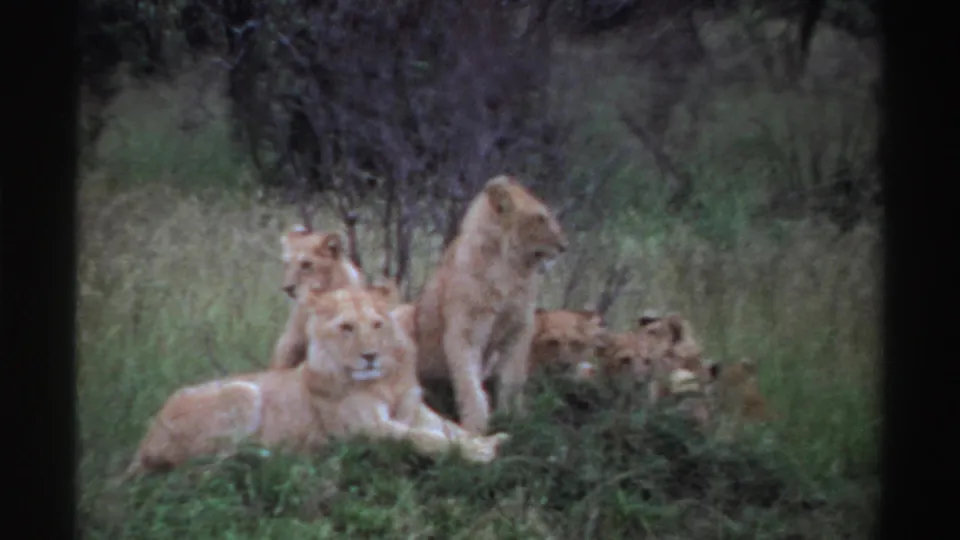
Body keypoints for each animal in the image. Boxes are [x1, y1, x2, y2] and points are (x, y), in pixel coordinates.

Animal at [126, 285, 510, 477]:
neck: (382, 381)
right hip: (241, 391)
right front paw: (481, 452)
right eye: (346, 327)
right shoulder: (363, 429)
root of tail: (144, 441)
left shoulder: (415, 410)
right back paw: (272, 454)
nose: (370, 355)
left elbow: (450, 429)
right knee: (205, 465)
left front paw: (489, 439)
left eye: (377, 324)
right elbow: (423, 438)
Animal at [415, 175, 569, 435]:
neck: (512, 270)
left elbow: (513, 378)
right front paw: (476, 426)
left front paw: (514, 417)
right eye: (540, 218)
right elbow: (469, 381)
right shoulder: (466, 330)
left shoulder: (519, 329)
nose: (564, 246)